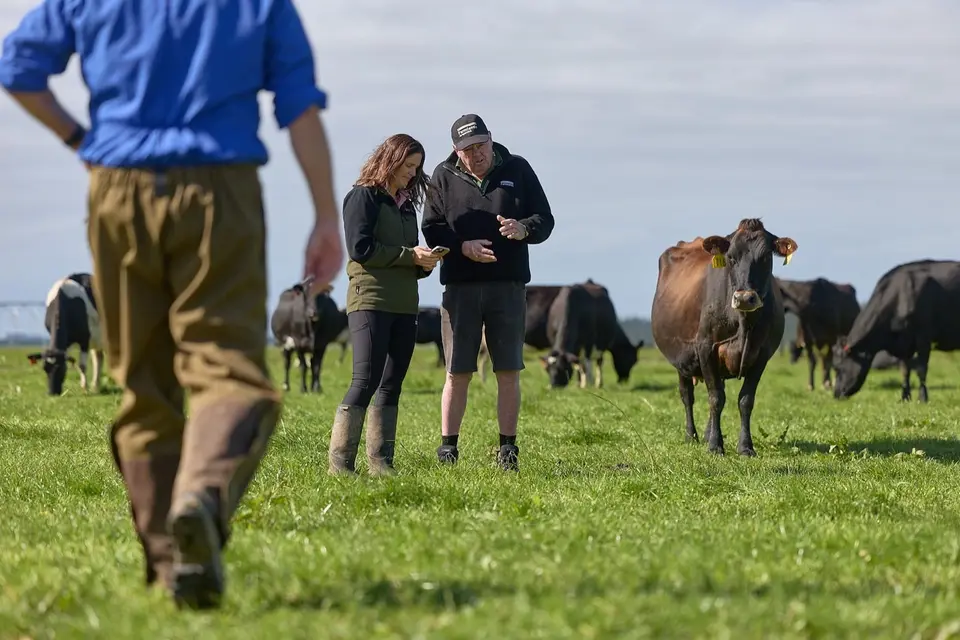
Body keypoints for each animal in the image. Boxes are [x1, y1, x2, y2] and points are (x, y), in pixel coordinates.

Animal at [650, 219, 798, 456]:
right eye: (731, 257)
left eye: (766, 257)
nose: (745, 298)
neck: (744, 324)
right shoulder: (706, 348)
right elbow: (715, 398)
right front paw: (714, 446)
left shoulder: (761, 355)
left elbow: (745, 400)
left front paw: (745, 446)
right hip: (681, 360)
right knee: (687, 395)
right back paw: (691, 435)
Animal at [833, 260, 960, 403]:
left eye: (837, 367)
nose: (835, 394)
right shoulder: (904, 344)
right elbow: (905, 370)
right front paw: (905, 397)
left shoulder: (923, 337)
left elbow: (921, 369)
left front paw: (923, 397)